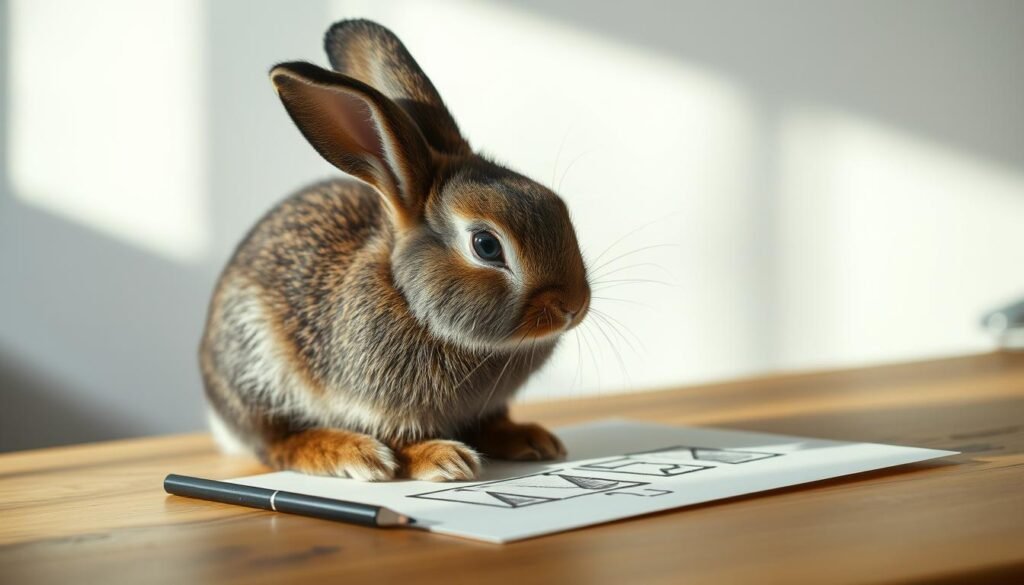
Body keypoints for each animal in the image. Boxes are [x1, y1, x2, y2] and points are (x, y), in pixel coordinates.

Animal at [200, 19, 590, 481]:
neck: (410, 301)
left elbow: (493, 423)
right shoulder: (368, 399)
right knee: (276, 443)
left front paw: (530, 438)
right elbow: (400, 440)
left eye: (557, 204)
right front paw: (442, 457)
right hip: (255, 368)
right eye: (486, 245)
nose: (573, 306)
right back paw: (349, 452)